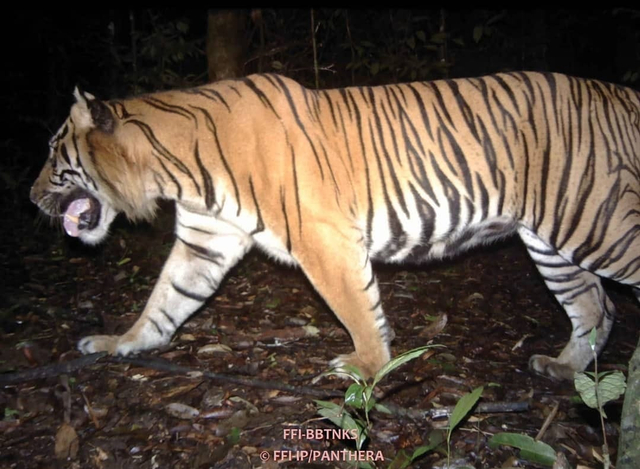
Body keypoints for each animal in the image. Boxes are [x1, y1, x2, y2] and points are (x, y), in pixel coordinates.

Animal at [31, 73, 640, 380]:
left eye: (53, 154)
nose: (31, 196)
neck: (175, 169)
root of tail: (622, 94)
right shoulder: (206, 240)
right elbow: (165, 300)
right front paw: (120, 343)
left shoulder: (324, 237)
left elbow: (357, 308)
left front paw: (368, 368)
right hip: (554, 241)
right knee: (596, 308)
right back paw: (562, 370)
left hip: (601, 224)